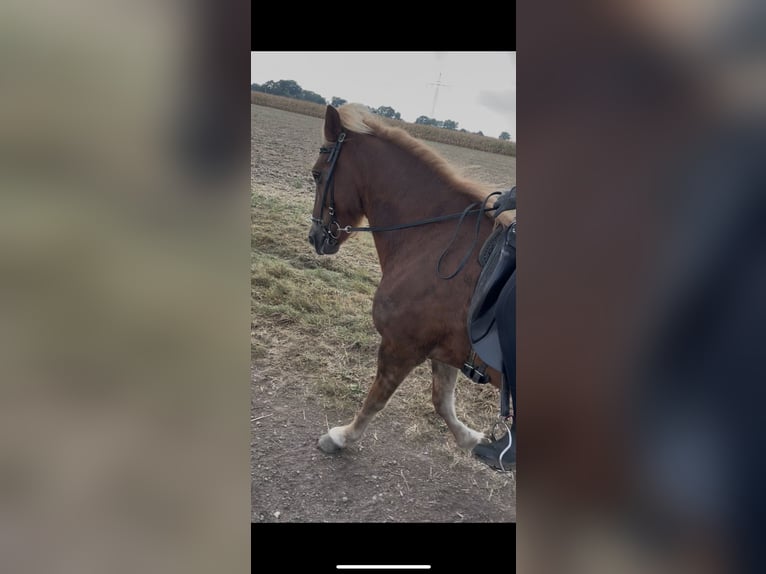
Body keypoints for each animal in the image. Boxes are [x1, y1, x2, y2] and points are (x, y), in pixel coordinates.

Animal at [307, 103, 513, 454]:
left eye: (317, 174)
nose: (314, 236)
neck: (434, 239)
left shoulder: (401, 346)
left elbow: (376, 399)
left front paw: (341, 437)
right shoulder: (445, 351)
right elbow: (442, 401)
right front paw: (472, 439)